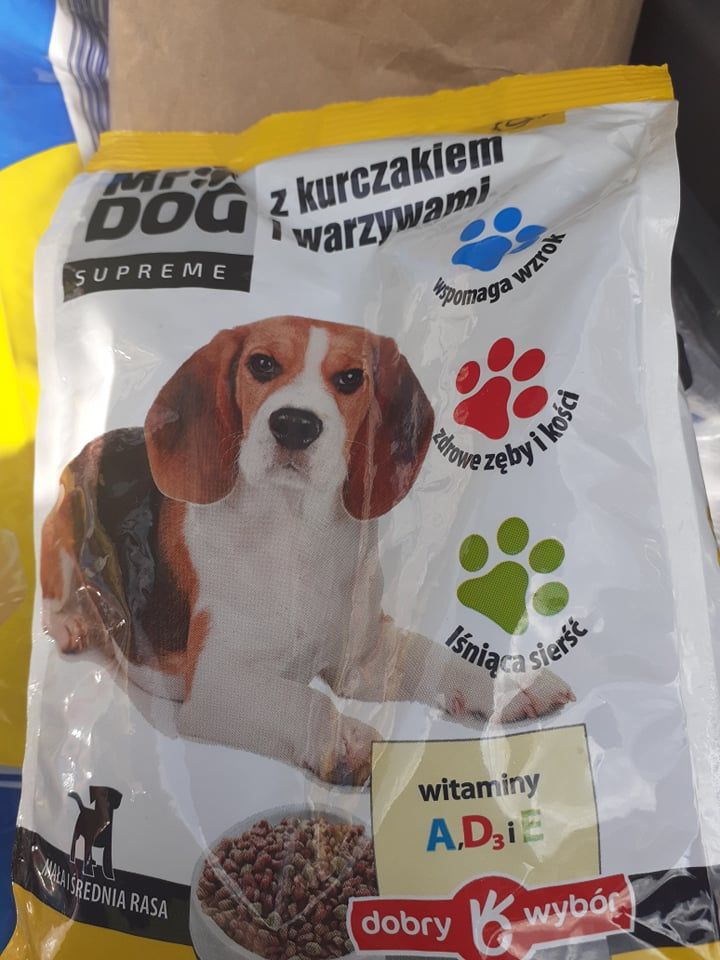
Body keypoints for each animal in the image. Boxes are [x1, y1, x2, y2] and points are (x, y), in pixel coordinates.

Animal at [41, 316, 574, 785]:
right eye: (261, 364)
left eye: (351, 377)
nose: (294, 424)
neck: (298, 533)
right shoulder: (217, 685)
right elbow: (311, 702)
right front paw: (348, 741)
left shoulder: (362, 658)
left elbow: (432, 655)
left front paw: (513, 684)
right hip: (60, 531)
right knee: (56, 594)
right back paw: (72, 624)